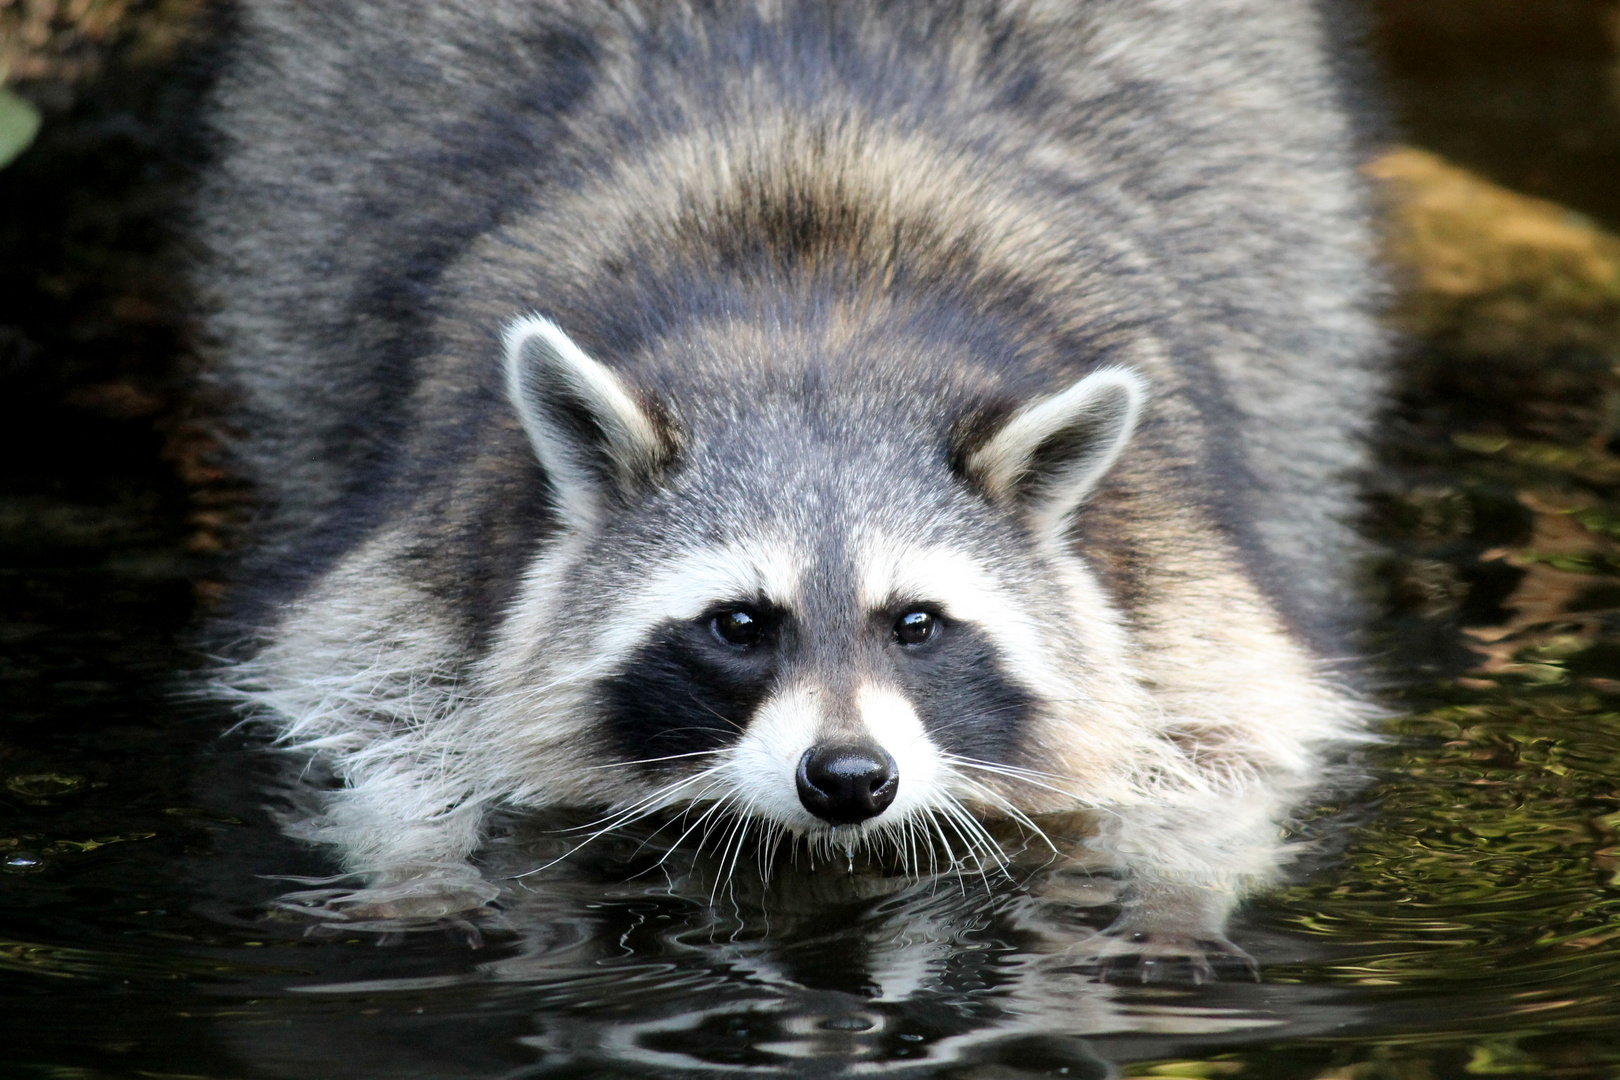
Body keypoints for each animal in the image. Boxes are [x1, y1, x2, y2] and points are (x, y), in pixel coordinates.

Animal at [196, 0, 1386, 977]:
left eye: (917, 623)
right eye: (739, 623)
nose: (849, 779)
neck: (818, 327)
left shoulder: (1161, 548)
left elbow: (1235, 726)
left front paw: (1178, 885)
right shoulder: (453, 516)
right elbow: (362, 691)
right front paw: (416, 854)